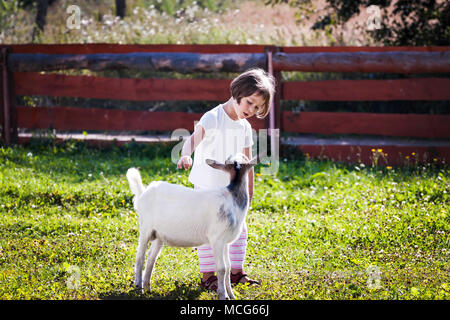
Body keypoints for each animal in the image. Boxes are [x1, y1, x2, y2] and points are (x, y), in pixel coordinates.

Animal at [127, 154, 256, 298]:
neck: (232, 198)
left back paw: (147, 287)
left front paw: (232, 295)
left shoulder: (225, 242)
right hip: (145, 228)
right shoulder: (216, 239)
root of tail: (143, 193)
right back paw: (138, 288)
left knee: (151, 258)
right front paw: (223, 295)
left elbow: (228, 267)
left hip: (159, 235)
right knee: (140, 257)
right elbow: (221, 268)